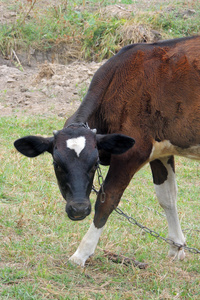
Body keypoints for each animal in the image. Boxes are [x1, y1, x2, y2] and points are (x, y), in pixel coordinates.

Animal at [14, 35, 200, 264]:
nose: (78, 209)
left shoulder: (133, 152)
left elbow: (107, 199)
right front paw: (176, 247)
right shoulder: (161, 150)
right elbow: (167, 197)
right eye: (57, 164)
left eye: (94, 164)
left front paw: (81, 254)